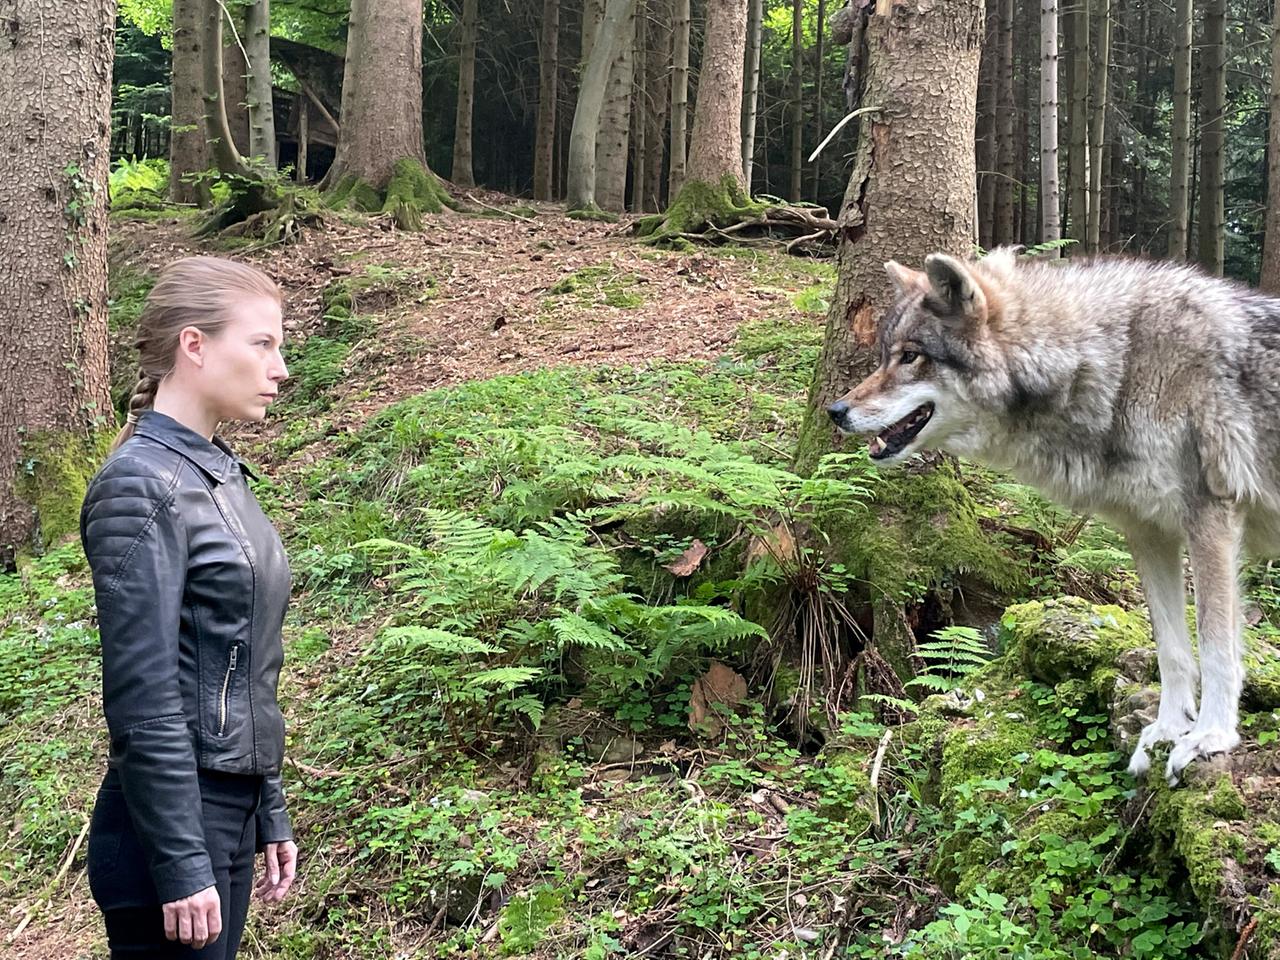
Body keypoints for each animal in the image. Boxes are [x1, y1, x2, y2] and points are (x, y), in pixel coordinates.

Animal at [826, 248, 1280, 784]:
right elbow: (1170, 648)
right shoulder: (1149, 533)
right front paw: (1166, 731)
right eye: (883, 356)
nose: (835, 410)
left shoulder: (1211, 522)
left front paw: (1209, 737)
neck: (1117, 365)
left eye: (911, 356)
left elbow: (1215, 646)